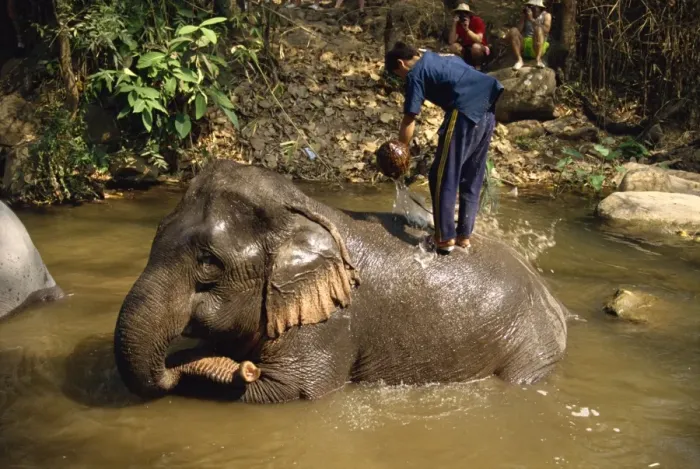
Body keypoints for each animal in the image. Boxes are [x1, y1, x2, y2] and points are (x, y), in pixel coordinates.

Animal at [114, 160, 568, 403]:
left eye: (208, 262)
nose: (174, 359)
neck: (303, 211)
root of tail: (553, 298)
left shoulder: (330, 322)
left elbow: (293, 390)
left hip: (532, 346)